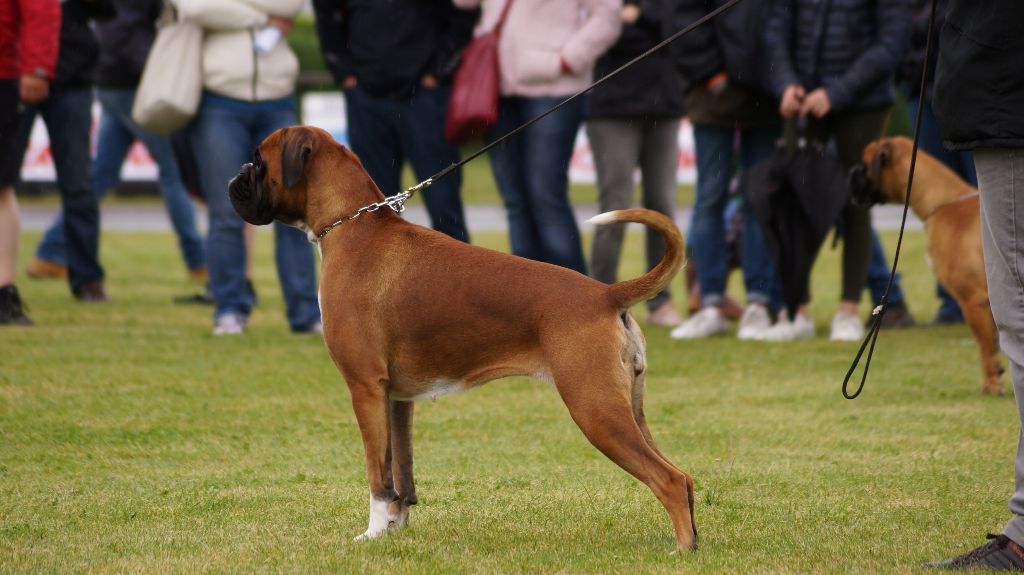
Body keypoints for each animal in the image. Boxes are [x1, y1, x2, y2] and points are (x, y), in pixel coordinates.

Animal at [228, 126, 700, 552]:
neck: (353, 226)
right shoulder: (397, 399)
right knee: (683, 474)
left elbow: (378, 475)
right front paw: (396, 530)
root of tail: (605, 293)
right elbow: (402, 473)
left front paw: (373, 535)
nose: (234, 180)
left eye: (258, 160)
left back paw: (682, 550)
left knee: (668, 479)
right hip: (629, 409)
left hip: (596, 409)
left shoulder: (365, 388)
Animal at [847, 135, 999, 392]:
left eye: (864, 165)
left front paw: (992, 386)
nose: (849, 174)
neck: (942, 202)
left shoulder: (973, 299)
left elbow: (986, 348)